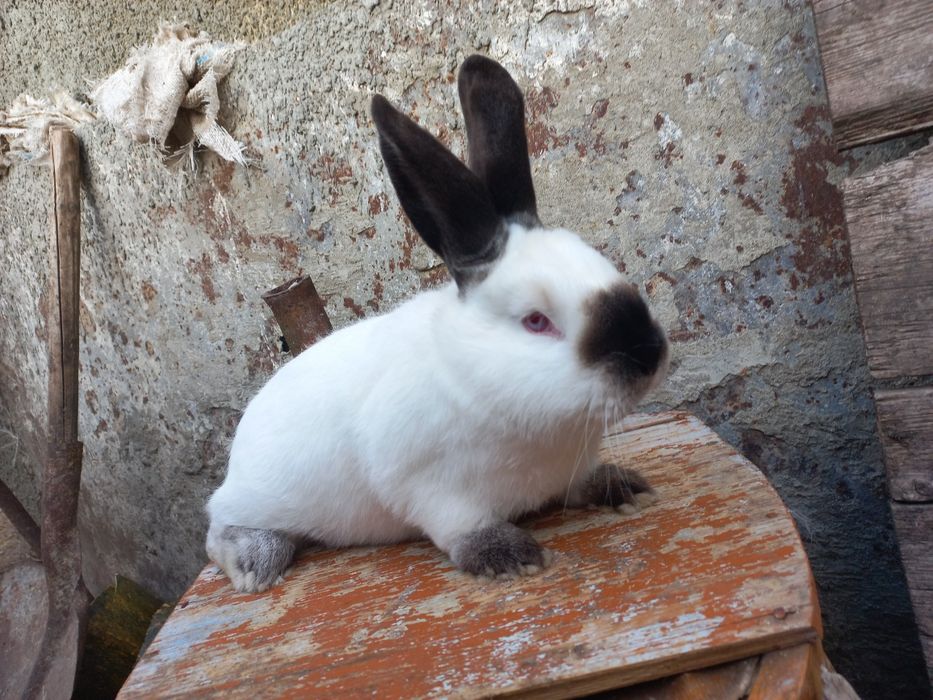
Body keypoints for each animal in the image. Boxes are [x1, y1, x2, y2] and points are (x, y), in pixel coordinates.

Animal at [205, 54, 669, 593]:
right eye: (536, 321)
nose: (649, 354)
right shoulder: (427, 486)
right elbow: (459, 529)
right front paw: (511, 557)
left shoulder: (568, 469)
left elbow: (582, 483)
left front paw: (623, 487)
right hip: (257, 499)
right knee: (217, 528)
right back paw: (255, 563)